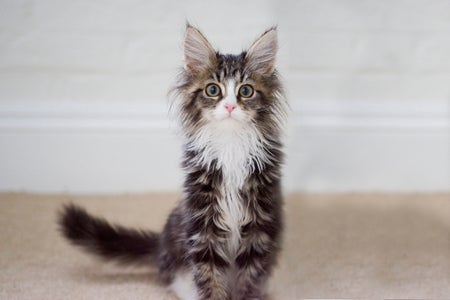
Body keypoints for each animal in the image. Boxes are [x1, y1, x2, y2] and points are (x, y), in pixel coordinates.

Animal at [59, 24, 286, 300]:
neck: (230, 145)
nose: (230, 107)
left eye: (245, 91)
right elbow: (209, 277)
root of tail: (160, 246)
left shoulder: (259, 226)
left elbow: (250, 278)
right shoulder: (202, 223)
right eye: (213, 90)